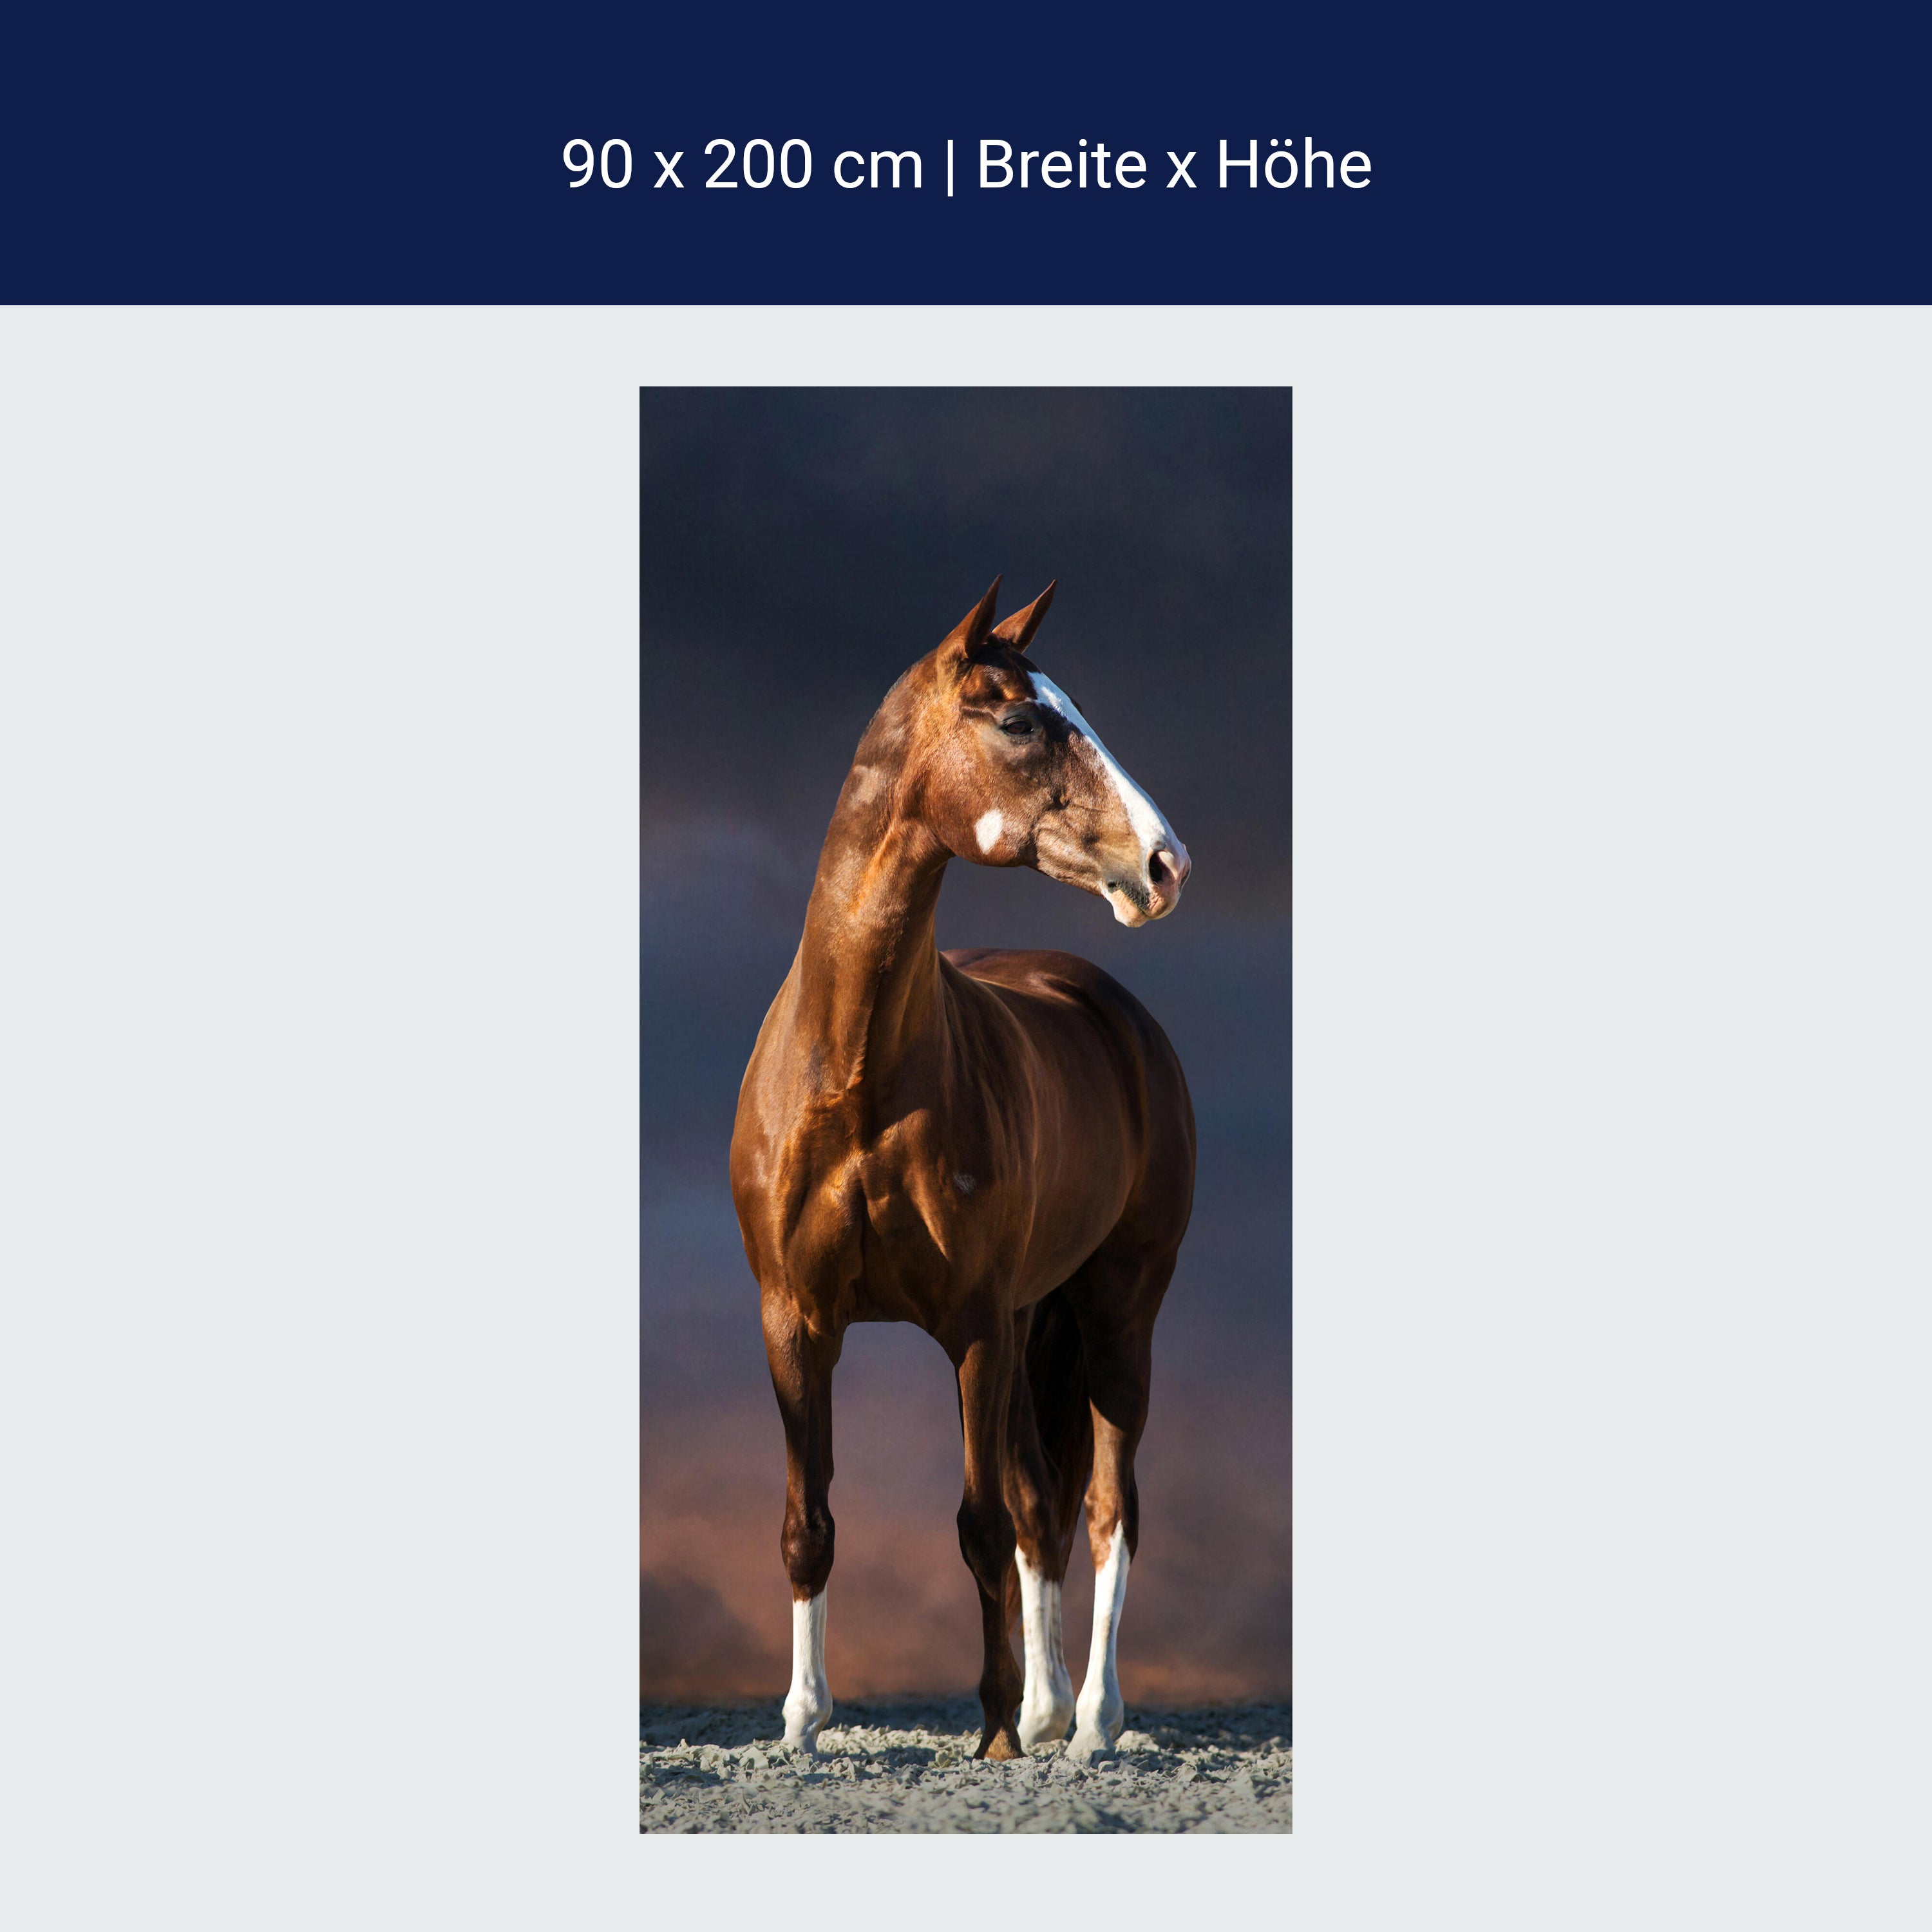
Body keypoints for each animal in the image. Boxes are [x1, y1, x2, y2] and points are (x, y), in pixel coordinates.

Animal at [728, 577, 1196, 1763]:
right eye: (1021, 720)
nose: (1165, 866)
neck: (856, 1077)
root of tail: (1112, 1008)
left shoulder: (974, 1325)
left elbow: (981, 1524)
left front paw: (991, 1733)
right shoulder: (794, 1320)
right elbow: (810, 1522)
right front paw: (803, 1724)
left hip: (1118, 1314)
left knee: (1106, 1507)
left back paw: (1089, 1722)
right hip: (1042, 1323)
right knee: (1043, 1504)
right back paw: (1046, 1708)